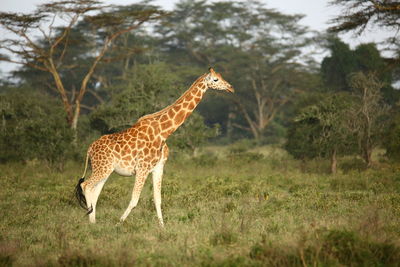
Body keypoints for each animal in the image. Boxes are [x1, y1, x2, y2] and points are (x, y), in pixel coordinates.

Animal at [74, 68, 234, 227]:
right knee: (86, 185)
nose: (230, 87)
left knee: (95, 192)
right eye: (215, 79)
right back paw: (92, 221)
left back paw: (93, 222)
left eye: (220, 77)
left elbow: (158, 199)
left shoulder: (158, 167)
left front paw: (162, 227)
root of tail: (89, 149)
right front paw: (118, 223)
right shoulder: (142, 168)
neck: (164, 132)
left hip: (106, 169)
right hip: (102, 167)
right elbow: (134, 199)